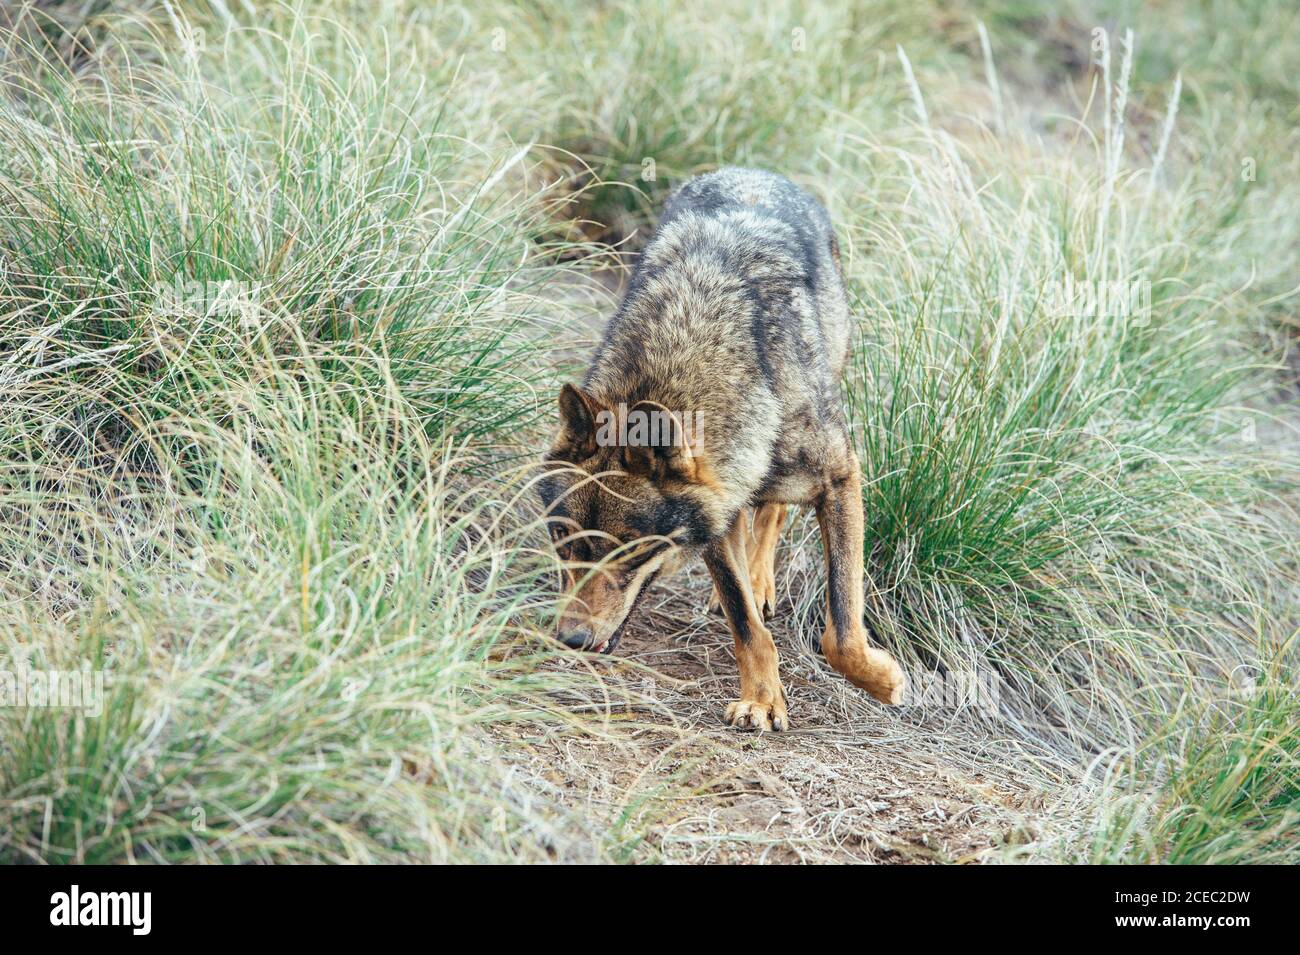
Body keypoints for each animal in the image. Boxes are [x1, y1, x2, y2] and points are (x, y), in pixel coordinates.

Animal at [538, 167, 905, 731]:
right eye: (562, 536)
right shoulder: (719, 506)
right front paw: (762, 699)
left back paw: (763, 579)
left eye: (632, 549)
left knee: (773, 511)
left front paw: (884, 681)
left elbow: (842, 629)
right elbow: (744, 621)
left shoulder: (841, 477)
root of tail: (753, 170)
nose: (573, 639)